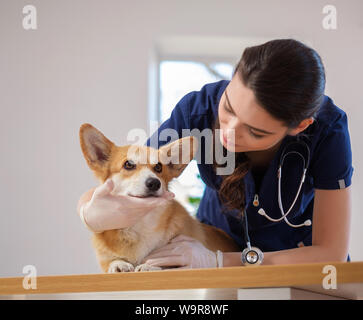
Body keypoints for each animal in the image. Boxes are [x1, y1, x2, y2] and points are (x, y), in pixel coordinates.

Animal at [79, 122, 239, 272]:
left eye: (158, 167)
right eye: (128, 164)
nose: (154, 183)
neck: (141, 225)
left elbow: (166, 264)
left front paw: (150, 266)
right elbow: (112, 261)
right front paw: (118, 264)